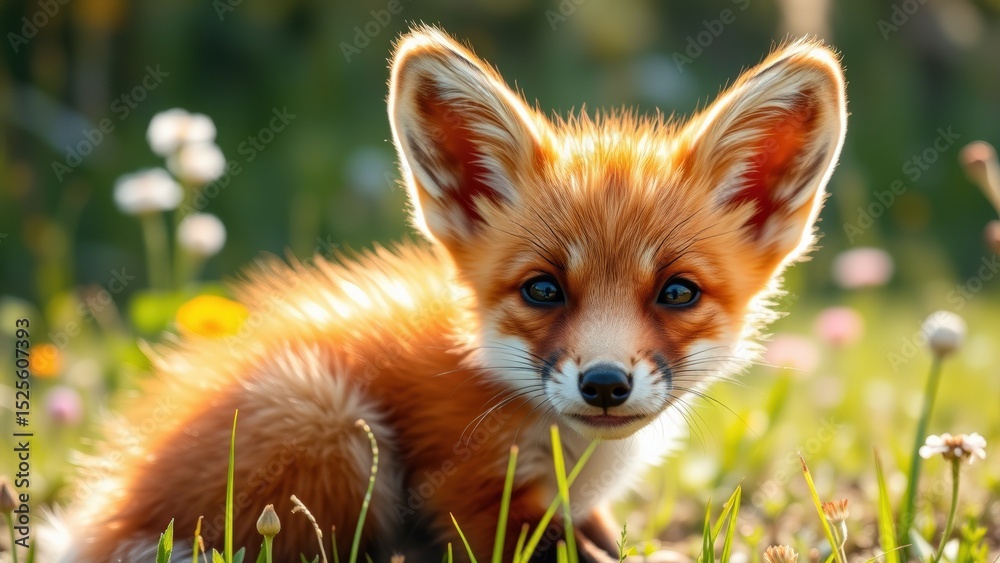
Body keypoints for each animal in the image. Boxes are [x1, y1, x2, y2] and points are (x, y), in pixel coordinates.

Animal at [63, 26, 846, 563]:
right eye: (543, 289)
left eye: (677, 292)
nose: (603, 384)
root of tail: (103, 512)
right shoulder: (471, 497)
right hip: (329, 419)